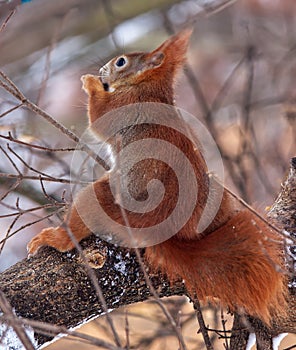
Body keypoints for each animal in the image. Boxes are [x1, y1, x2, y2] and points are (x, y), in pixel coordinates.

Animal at [28, 29, 286, 322]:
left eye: (121, 62)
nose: (102, 68)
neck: (150, 89)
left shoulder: (126, 107)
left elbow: (99, 117)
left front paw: (91, 83)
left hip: (104, 206)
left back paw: (55, 237)